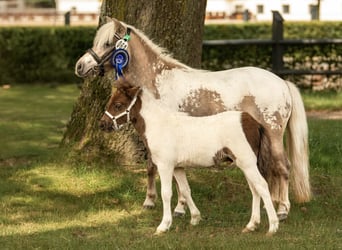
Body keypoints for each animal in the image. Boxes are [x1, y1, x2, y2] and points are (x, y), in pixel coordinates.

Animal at [76, 17, 312, 220]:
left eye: (107, 43)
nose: (80, 66)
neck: (158, 81)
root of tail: (282, 82)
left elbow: (169, 172)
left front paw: (175, 207)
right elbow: (154, 167)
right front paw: (153, 202)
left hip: (274, 133)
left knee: (283, 167)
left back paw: (282, 209)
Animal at [99, 85, 280, 235]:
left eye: (118, 105)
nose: (102, 125)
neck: (159, 124)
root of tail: (253, 122)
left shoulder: (165, 166)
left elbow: (166, 193)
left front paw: (163, 226)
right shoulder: (178, 168)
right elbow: (185, 190)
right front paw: (195, 218)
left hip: (248, 164)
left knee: (262, 186)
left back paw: (273, 226)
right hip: (246, 165)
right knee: (255, 189)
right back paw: (251, 225)